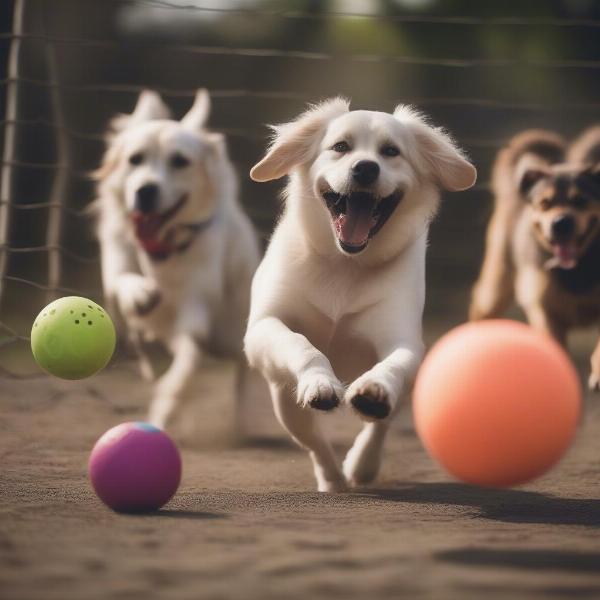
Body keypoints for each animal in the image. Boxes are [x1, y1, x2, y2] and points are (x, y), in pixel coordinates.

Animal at [95, 89, 260, 432]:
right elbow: (122, 282)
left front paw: (166, 407)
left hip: (232, 328)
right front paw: (139, 294)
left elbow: (187, 366)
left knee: (245, 371)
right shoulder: (116, 260)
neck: (162, 249)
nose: (146, 191)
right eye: (135, 159)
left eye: (180, 161)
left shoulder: (194, 310)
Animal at [243, 98, 474, 492]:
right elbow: (301, 345)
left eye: (391, 152)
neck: (345, 263)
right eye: (340, 146)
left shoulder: (404, 340)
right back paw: (334, 480)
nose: (365, 168)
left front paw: (372, 389)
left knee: (379, 427)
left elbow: (392, 366)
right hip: (285, 403)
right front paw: (320, 383)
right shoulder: (263, 328)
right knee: (315, 443)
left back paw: (360, 464)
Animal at [472, 126, 596, 390]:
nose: (561, 223)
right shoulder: (545, 312)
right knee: (481, 306)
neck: (576, 268)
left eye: (581, 200)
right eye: (544, 203)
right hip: (496, 287)